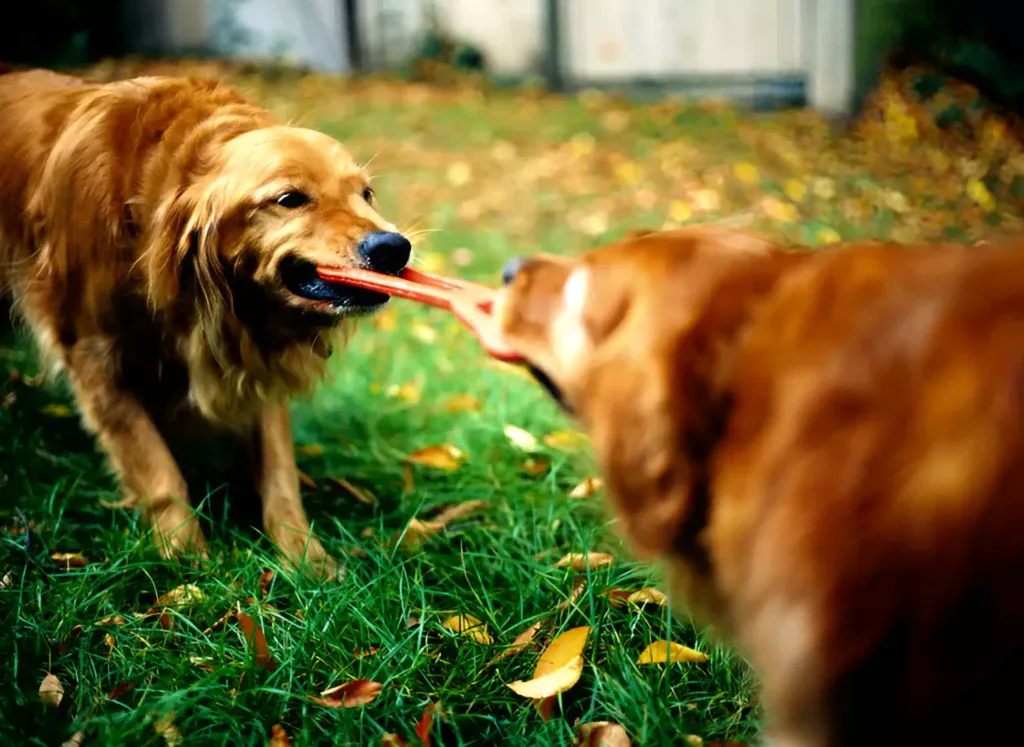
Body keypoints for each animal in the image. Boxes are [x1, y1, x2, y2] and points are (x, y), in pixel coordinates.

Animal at [3, 69, 411, 573]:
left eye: (366, 193)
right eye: (290, 199)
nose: (394, 248)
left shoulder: (257, 354)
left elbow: (279, 472)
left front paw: (304, 559)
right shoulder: (91, 352)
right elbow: (158, 469)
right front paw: (187, 560)